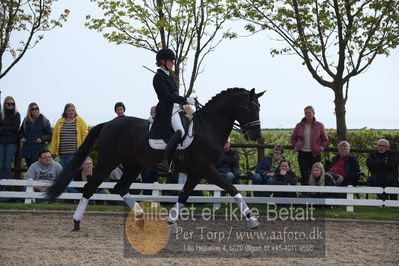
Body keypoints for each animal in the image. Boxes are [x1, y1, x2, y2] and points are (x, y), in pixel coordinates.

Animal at [47, 87, 266, 231]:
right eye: (248, 108)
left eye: (259, 107)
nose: (255, 135)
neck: (208, 129)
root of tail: (109, 123)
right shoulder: (207, 169)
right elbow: (233, 189)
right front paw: (252, 219)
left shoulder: (197, 172)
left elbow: (183, 196)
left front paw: (171, 223)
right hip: (108, 162)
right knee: (90, 187)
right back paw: (76, 222)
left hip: (133, 165)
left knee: (120, 188)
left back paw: (140, 217)